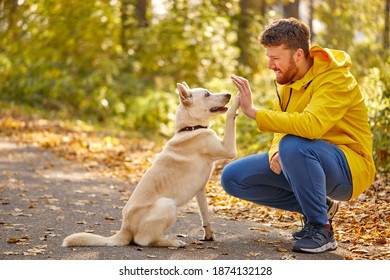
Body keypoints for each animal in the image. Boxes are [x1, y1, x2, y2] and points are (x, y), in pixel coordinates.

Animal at [62, 82, 239, 247]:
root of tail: (125, 228)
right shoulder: (228, 149)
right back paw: (172, 242)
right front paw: (239, 97)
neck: (190, 128)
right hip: (168, 205)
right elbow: (230, 115)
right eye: (207, 94)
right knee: (143, 241)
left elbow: (205, 215)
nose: (228, 94)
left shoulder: (200, 190)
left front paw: (209, 235)